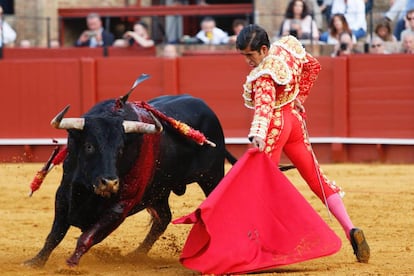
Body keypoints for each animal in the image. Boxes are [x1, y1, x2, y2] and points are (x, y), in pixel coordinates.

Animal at [25, 94, 238, 266]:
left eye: (121, 149)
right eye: (89, 146)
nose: (110, 183)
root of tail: (207, 108)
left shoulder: (122, 205)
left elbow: (87, 236)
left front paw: (71, 262)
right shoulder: (63, 194)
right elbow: (55, 234)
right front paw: (35, 262)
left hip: (211, 177)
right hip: (159, 190)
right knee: (163, 218)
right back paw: (136, 254)